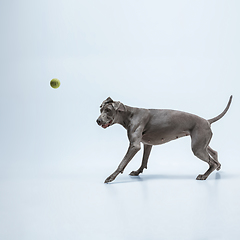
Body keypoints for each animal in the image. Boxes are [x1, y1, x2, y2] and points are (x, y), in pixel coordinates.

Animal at [96, 95, 232, 184]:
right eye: (101, 109)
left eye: (108, 110)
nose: (98, 120)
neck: (129, 114)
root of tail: (207, 121)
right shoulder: (147, 144)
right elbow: (144, 160)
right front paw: (137, 172)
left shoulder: (135, 145)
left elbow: (122, 163)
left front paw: (110, 177)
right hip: (202, 143)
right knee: (214, 153)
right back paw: (217, 166)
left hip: (197, 148)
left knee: (212, 162)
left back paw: (204, 176)